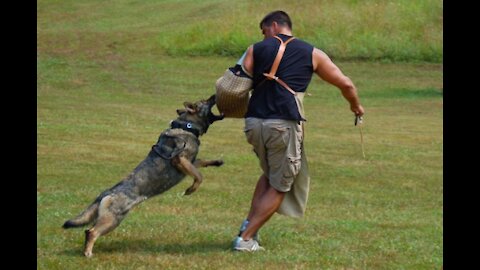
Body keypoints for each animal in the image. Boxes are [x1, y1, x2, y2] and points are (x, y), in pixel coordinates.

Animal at [62, 95, 225, 258]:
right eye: (205, 101)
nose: (214, 95)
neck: (187, 126)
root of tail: (106, 193)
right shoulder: (180, 160)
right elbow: (199, 176)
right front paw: (191, 189)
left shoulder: (190, 162)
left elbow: (202, 163)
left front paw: (217, 162)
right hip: (112, 219)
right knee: (91, 232)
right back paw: (88, 253)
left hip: (114, 219)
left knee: (88, 230)